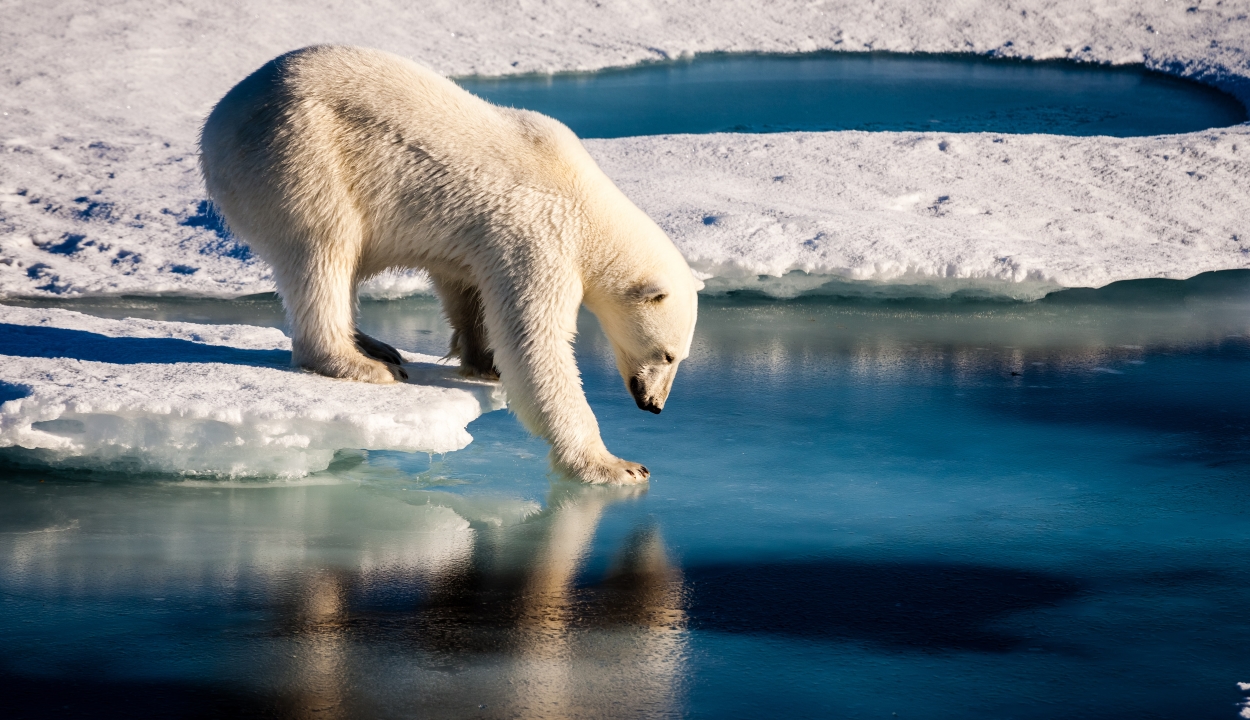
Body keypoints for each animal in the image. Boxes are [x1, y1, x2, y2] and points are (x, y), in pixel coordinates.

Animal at [200, 45, 700, 485]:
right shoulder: (540, 236)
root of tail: (218, 119)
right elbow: (535, 343)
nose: (654, 405)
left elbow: (467, 289)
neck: (586, 202)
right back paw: (361, 363)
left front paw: (484, 362)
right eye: (667, 354)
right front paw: (616, 466)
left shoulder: (482, 240)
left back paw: (375, 345)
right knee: (324, 249)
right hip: (300, 154)